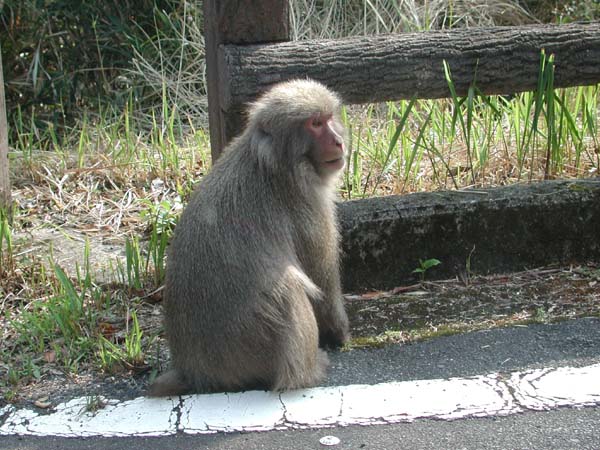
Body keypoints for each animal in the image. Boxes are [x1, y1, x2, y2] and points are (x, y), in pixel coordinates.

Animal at [147, 79, 350, 396]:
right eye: (315, 124)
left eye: (329, 118)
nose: (338, 141)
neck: (275, 163)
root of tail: (193, 372)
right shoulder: (307, 205)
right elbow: (322, 280)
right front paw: (340, 333)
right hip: (248, 347)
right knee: (289, 288)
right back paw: (308, 371)